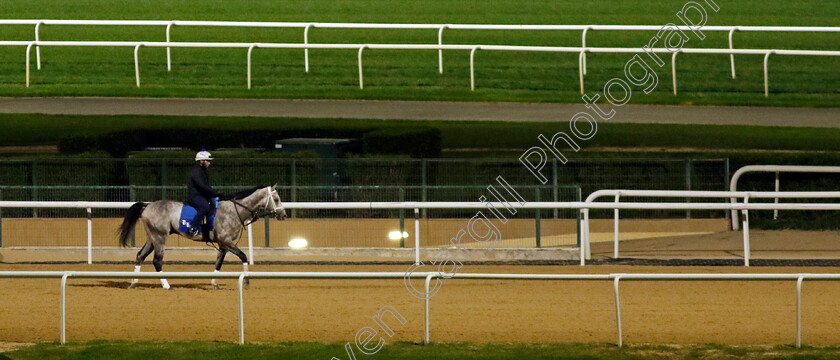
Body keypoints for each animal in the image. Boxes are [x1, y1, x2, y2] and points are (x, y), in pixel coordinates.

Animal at [116, 186, 288, 290]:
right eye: (276, 199)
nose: (284, 215)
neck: (234, 211)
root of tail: (148, 205)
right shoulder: (226, 241)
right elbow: (243, 256)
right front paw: (246, 280)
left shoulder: (223, 244)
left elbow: (219, 262)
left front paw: (214, 283)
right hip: (159, 237)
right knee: (157, 261)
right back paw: (167, 285)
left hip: (152, 238)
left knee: (140, 256)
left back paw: (134, 282)